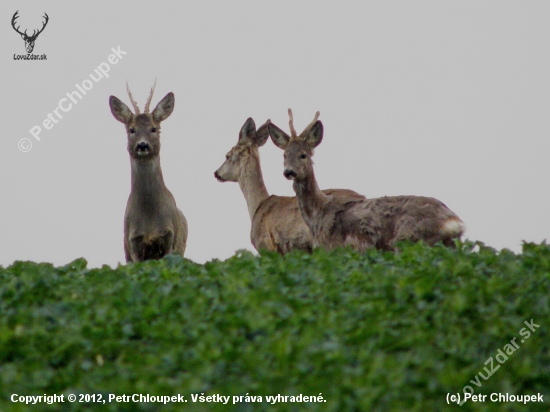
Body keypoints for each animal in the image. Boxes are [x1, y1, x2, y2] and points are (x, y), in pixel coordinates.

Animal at [270, 109, 468, 251]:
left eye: (303, 155)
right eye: (284, 155)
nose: (289, 172)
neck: (318, 215)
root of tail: (454, 222)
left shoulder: (335, 250)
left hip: (412, 241)